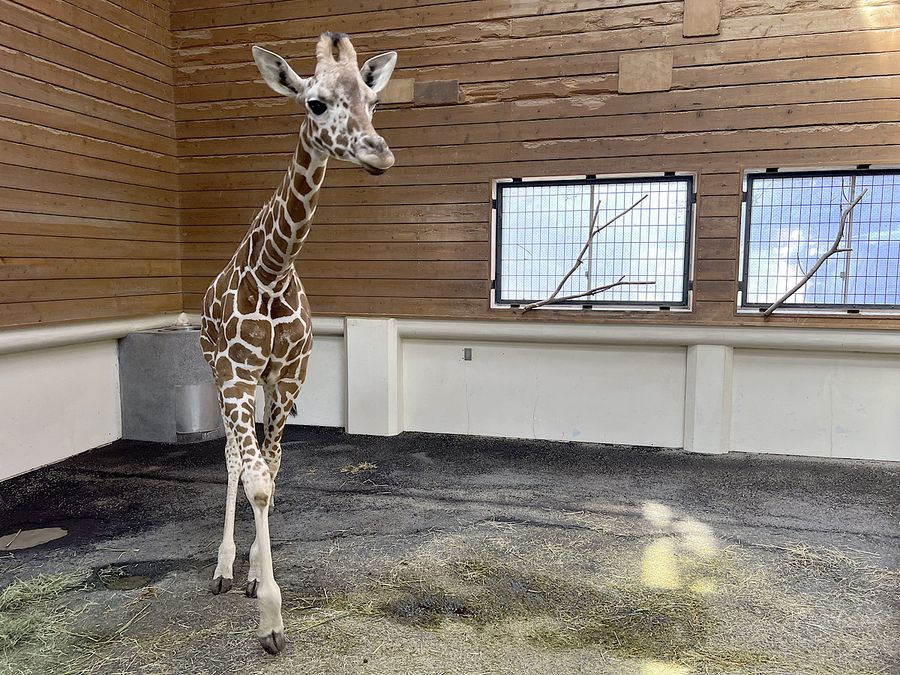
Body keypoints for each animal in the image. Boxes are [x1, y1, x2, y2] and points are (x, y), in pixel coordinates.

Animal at [200, 33, 398, 656]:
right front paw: (270, 619)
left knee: (256, 456)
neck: (273, 270)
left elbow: (274, 467)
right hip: (218, 373)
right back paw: (222, 570)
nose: (379, 153)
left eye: (374, 102)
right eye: (315, 102)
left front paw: (259, 580)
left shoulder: (287, 378)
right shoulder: (237, 374)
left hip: (263, 384)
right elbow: (254, 477)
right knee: (231, 458)